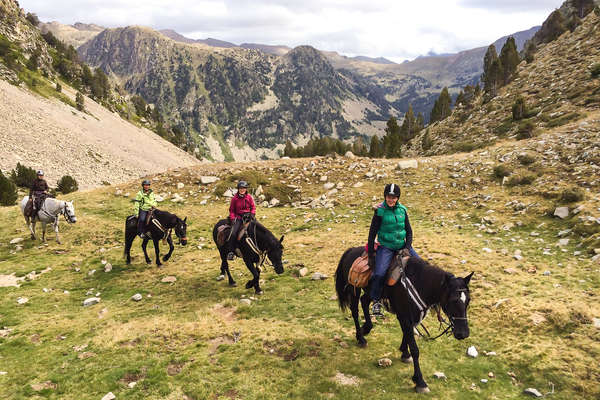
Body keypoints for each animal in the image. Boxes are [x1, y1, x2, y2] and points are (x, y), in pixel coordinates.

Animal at [336, 248, 472, 392]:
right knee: (355, 310)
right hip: (354, 289)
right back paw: (361, 338)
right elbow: (415, 349)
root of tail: (351, 250)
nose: (463, 333)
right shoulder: (405, 316)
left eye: (468, 300)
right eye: (453, 300)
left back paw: (365, 329)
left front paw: (404, 353)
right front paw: (420, 381)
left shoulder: (411, 316)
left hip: (370, 291)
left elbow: (408, 335)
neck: (420, 283)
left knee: (364, 302)